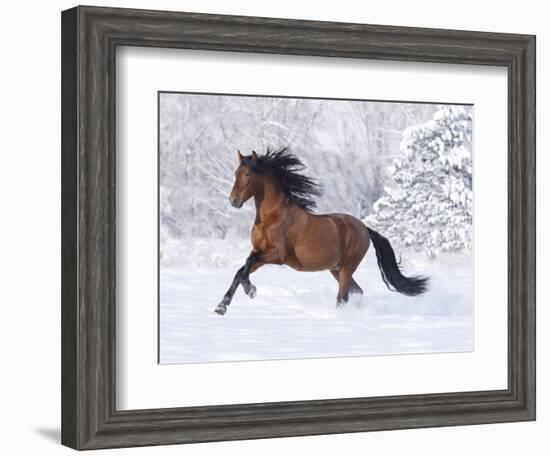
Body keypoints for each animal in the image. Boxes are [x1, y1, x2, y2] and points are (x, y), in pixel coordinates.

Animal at [213, 148, 430, 316]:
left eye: (248, 174)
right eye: (235, 173)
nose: (233, 201)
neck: (272, 217)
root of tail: (364, 228)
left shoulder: (277, 255)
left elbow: (247, 265)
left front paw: (250, 291)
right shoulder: (259, 252)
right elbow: (241, 270)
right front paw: (222, 306)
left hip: (346, 268)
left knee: (343, 297)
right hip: (336, 269)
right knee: (357, 291)